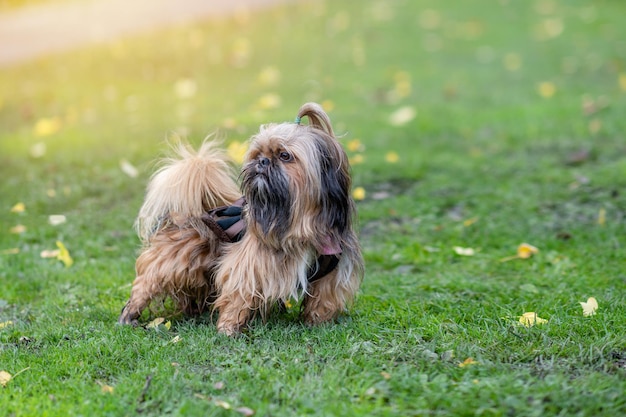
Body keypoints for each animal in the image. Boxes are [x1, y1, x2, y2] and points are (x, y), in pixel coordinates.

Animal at [117, 101, 364, 334]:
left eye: (285, 155)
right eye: (258, 154)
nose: (262, 161)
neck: (300, 224)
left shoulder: (331, 273)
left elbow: (323, 299)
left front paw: (317, 323)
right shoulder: (249, 266)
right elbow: (238, 296)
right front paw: (229, 329)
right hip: (171, 262)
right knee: (145, 285)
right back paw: (128, 316)